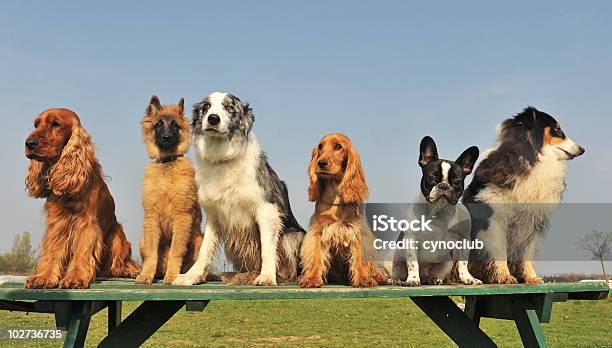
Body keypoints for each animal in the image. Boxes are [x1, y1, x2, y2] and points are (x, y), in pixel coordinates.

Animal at [136, 96, 203, 286]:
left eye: (175, 125)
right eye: (158, 124)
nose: (166, 137)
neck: (167, 164)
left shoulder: (182, 217)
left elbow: (175, 251)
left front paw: (172, 276)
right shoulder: (151, 218)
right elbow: (152, 253)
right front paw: (146, 275)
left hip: (199, 240)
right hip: (142, 238)